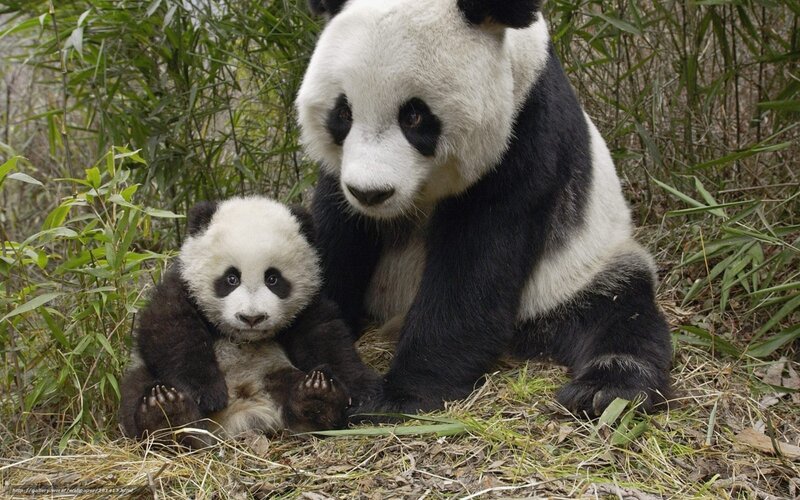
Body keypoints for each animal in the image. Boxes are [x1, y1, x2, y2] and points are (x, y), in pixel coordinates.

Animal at [119, 196, 378, 445]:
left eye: (273, 278)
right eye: (231, 278)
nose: (252, 318)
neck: (243, 338)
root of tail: (240, 415)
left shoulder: (308, 304)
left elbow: (326, 338)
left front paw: (362, 391)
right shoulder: (182, 285)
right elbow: (170, 330)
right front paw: (207, 393)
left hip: (273, 372)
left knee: (294, 386)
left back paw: (317, 399)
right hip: (145, 376)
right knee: (136, 389)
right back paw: (165, 415)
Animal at [296, 0, 673, 418]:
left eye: (414, 115)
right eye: (343, 113)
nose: (370, 193)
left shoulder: (525, 135)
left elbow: (475, 267)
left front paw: (398, 396)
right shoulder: (340, 179)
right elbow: (336, 238)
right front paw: (321, 369)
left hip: (579, 271)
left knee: (620, 312)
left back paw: (604, 390)